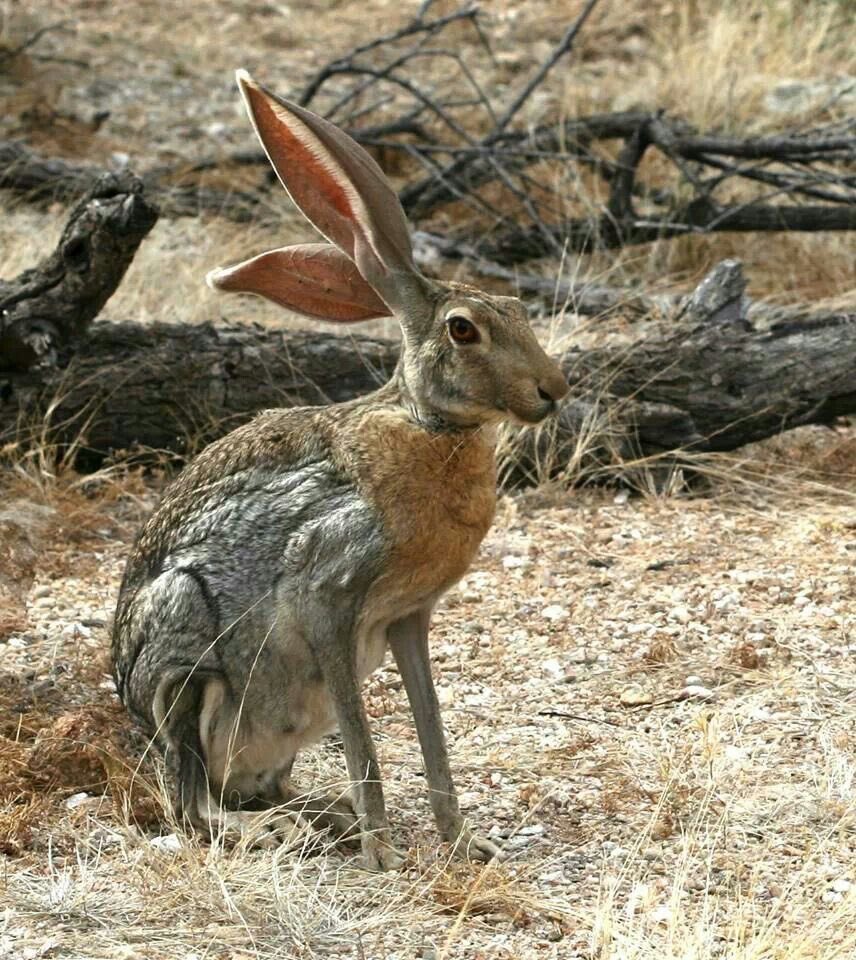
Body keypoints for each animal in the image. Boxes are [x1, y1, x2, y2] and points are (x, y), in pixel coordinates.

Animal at [112, 70, 569, 872]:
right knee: (191, 803)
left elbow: (431, 728)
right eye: (463, 329)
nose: (553, 390)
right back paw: (282, 832)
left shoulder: (408, 617)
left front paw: (463, 843)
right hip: (185, 655)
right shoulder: (328, 595)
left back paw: (322, 819)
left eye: (517, 306)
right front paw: (385, 854)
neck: (427, 426)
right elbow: (366, 744)